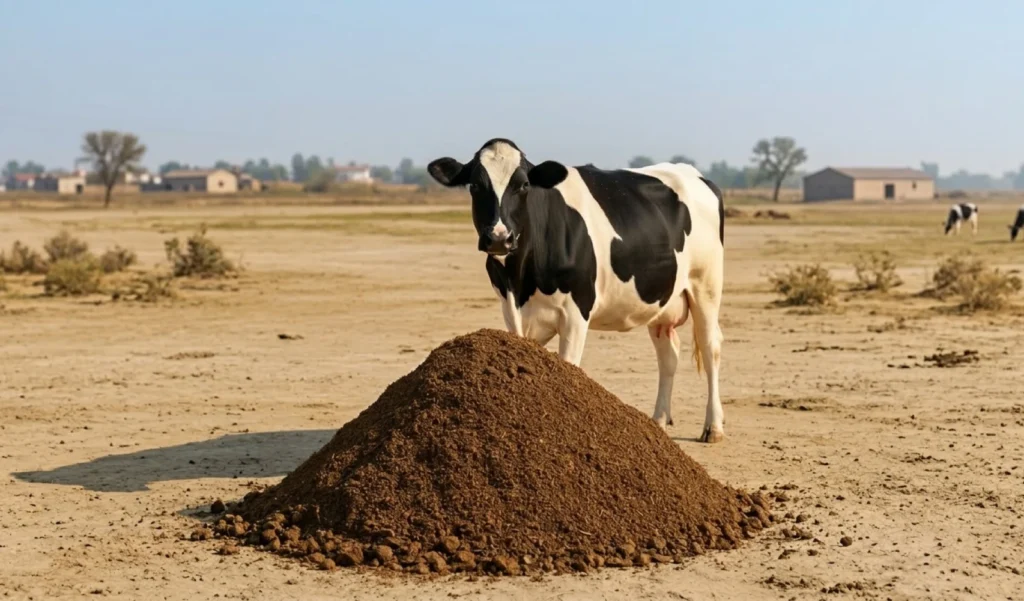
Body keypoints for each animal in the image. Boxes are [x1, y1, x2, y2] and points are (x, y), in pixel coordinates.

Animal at [427, 138, 727, 443]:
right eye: (475, 185)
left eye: (523, 185)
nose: (500, 238)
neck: (519, 279)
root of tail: (693, 173)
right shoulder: (511, 309)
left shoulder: (576, 311)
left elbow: (568, 366)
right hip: (662, 300)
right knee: (668, 355)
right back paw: (659, 422)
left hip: (706, 286)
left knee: (711, 347)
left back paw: (713, 426)